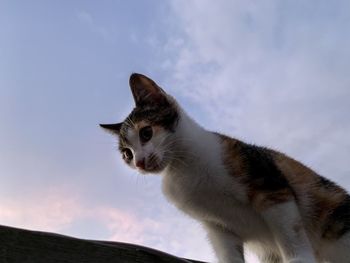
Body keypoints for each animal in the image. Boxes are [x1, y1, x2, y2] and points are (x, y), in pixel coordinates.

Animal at [101, 73, 350, 262]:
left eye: (146, 133)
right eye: (127, 154)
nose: (139, 162)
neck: (183, 167)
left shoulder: (270, 185)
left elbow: (290, 231)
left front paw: (298, 258)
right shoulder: (218, 226)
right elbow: (227, 250)